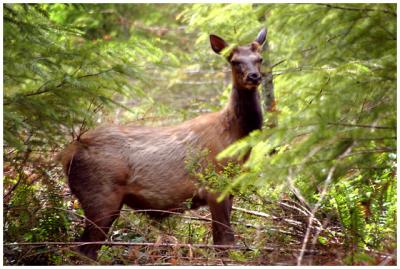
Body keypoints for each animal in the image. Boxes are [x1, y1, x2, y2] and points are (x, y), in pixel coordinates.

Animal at [58, 28, 266, 258]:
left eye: (260, 59)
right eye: (234, 61)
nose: (254, 76)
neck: (234, 137)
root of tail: (66, 154)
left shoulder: (230, 187)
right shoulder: (214, 185)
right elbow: (224, 242)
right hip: (100, 196)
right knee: (84, 249)